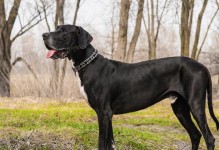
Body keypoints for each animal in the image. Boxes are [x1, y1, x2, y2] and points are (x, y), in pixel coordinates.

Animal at [42, 25, 218, 149]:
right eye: (56, 28)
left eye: (63, 31)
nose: (44, 35)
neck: (88, 64)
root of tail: (202, 66)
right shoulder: (108, 115)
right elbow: (110, 144)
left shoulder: (103, 113)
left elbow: (101, 144)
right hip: (180, 108)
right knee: (195, 135)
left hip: (195, 104)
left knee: (209, 137)